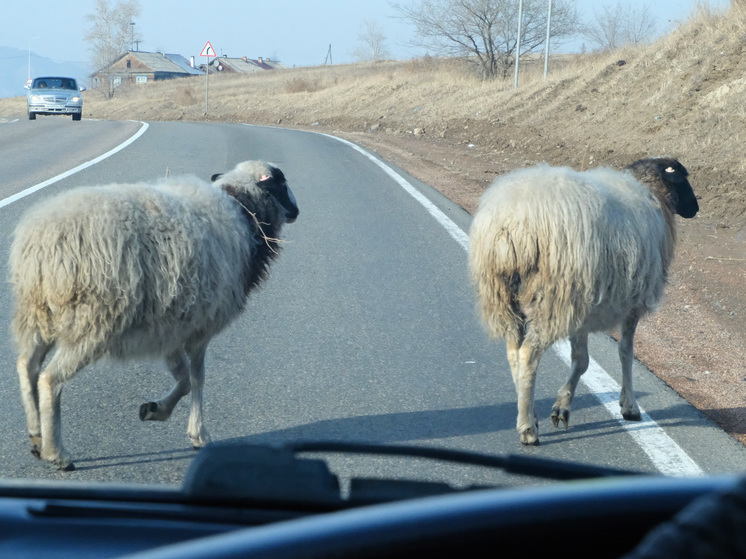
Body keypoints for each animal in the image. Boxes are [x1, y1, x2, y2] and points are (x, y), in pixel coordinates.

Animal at [10, 160, 298, 470]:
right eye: (281, 182)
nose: (296, 210)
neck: (243, 208)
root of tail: (42, 241)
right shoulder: (201, 328)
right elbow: (197, 377)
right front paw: (199, 434)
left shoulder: (172, 327)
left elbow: (183, 379)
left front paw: (154, 410)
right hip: (91, 323)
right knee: (50, 379)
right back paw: (57, 453)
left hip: (38, 315)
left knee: (27, 365)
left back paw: (36, 434)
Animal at [468, 156, 696, 446]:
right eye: (683, 177)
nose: (695, 208)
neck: (653, 193)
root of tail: (513, 222)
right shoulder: (630, 304)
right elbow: (624, 352)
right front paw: (629, 406)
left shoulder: (583, 306)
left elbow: (581, 359)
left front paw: (561, 408)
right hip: (555, 297)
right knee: (528, 354)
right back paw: (528, 430)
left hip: (503, 294)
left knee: (513, 352)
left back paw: (528, 414)